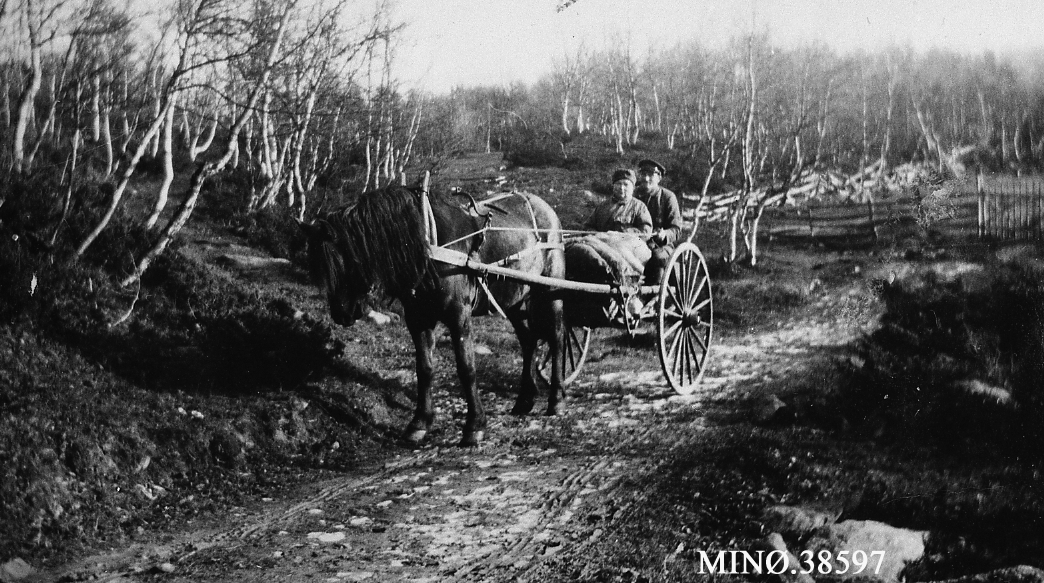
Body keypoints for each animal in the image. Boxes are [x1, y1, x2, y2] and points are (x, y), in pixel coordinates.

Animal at [298, 185, 567, 447]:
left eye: (349, 258)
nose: (341, 313)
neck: (428, 245)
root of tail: (543, 206)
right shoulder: (418, 319)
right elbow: (424, 368)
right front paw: (419, 424)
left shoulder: (459, 316)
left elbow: (466, 368)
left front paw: (474, 426)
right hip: (515, 299)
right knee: (529, 341)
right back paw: (525, 400)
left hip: (549, 291)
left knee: (557, 338)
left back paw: (556, 399)